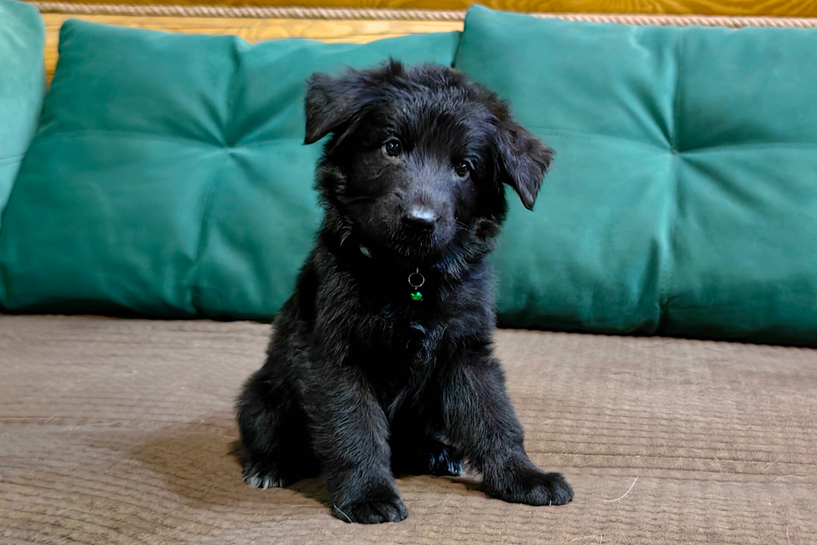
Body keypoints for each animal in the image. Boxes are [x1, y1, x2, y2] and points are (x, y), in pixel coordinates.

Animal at [237, 60, 573, 524]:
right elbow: (354, 428)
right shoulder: (335, 357)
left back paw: (436, 453)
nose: (419, 221)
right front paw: (367, 494)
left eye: (464, 168)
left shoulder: (466, 351)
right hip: (262, 394)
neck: (411, 277)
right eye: (392, 147)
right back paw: (270, 465)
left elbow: (494, 417)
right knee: (265, 429)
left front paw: (522, 476)